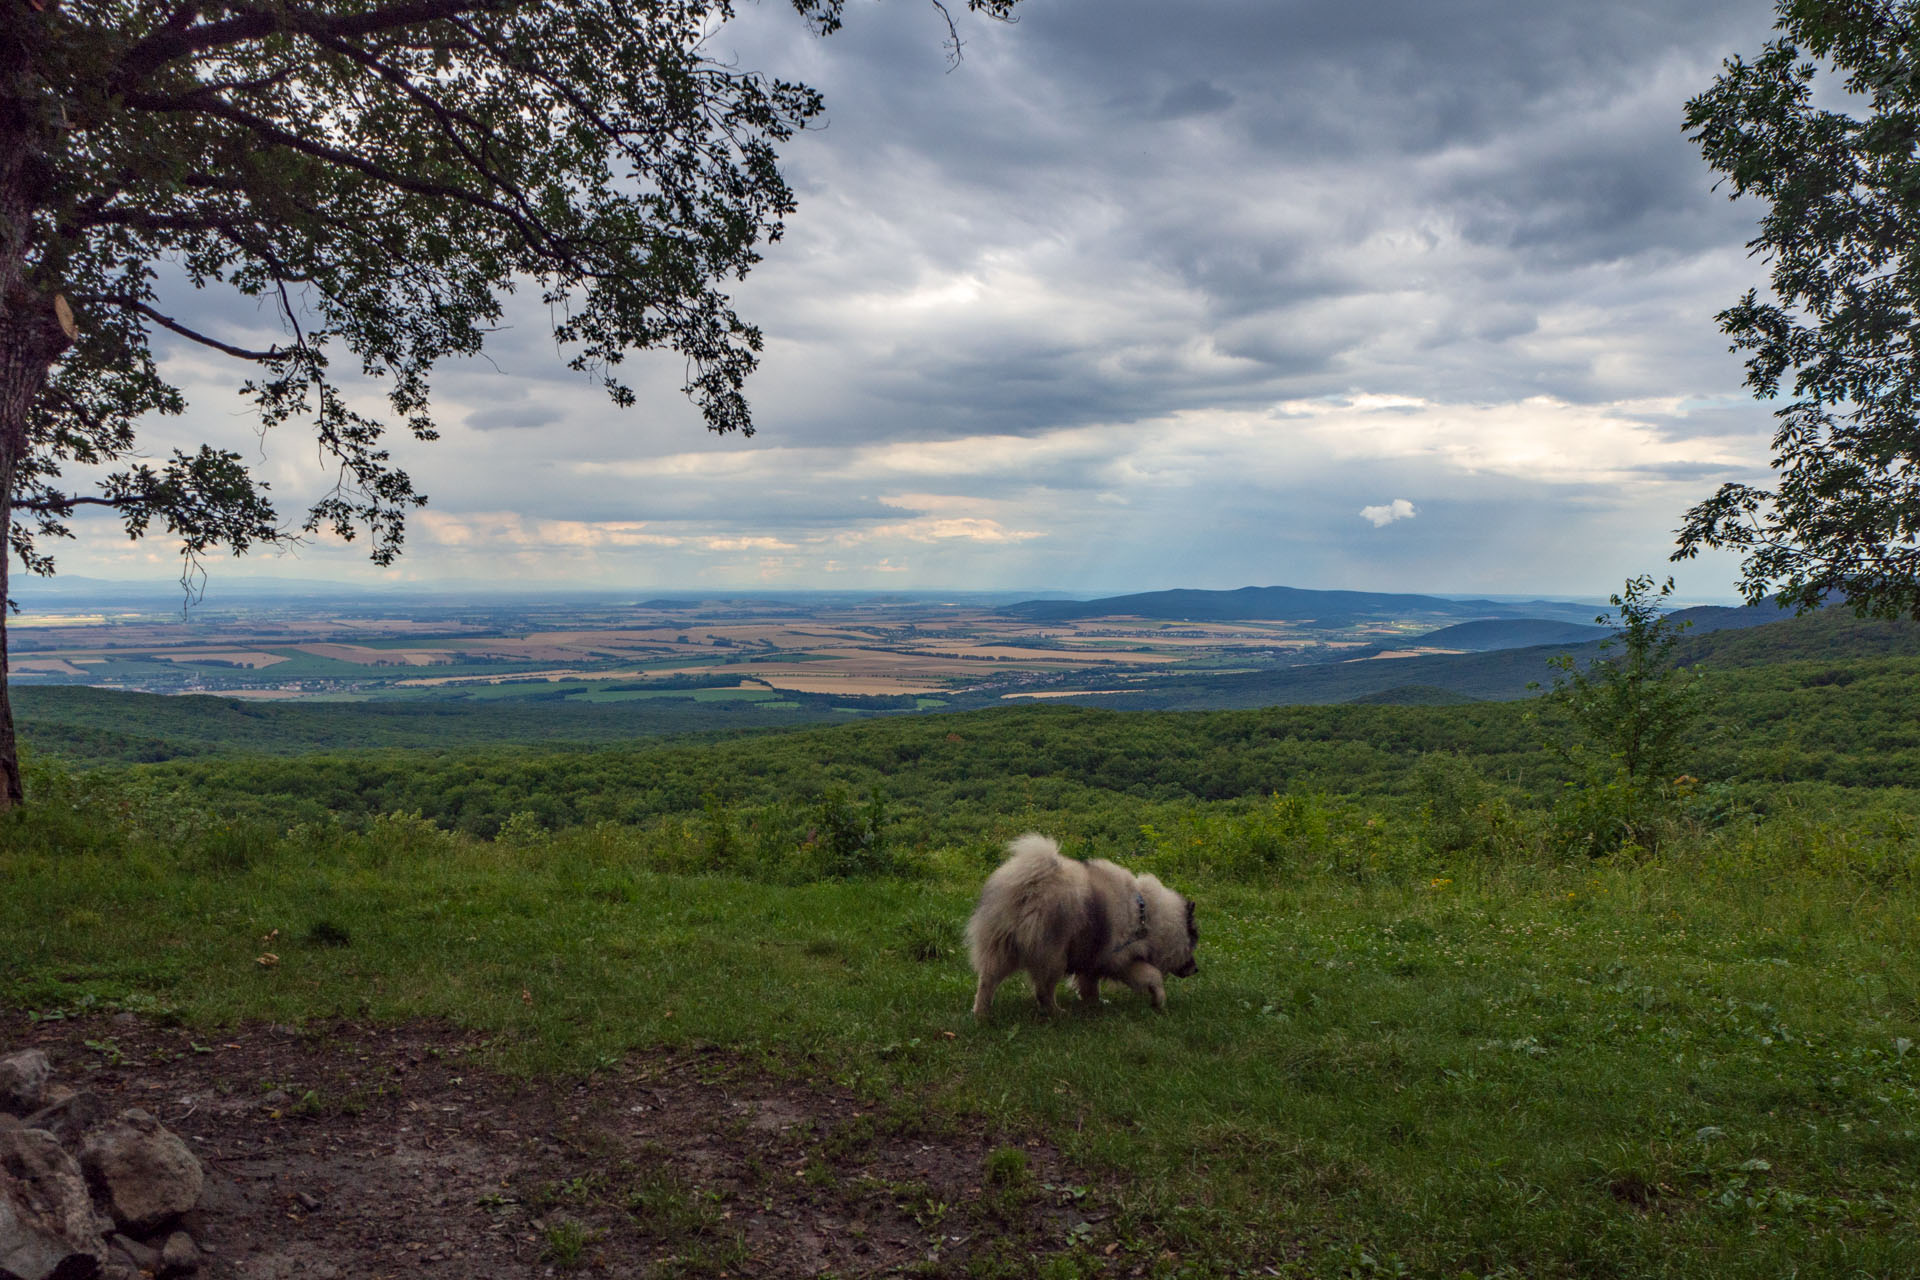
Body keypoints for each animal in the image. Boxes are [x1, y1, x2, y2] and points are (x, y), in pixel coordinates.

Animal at [967, 832, 1190, 1020]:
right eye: (1194, 940)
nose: (1194, 969)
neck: (1144, 912)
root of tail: (1029, 886)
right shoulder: (1119, 958)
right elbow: (1153, 975)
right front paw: (1159, 1000)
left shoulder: (1094, 960)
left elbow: (1089, 985)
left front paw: (1094, 1004)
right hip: (1053, 955)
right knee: (1043, 990)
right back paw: (1057, 1012)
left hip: (1000, 947)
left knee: (987, 981)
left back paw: (981, 1014)